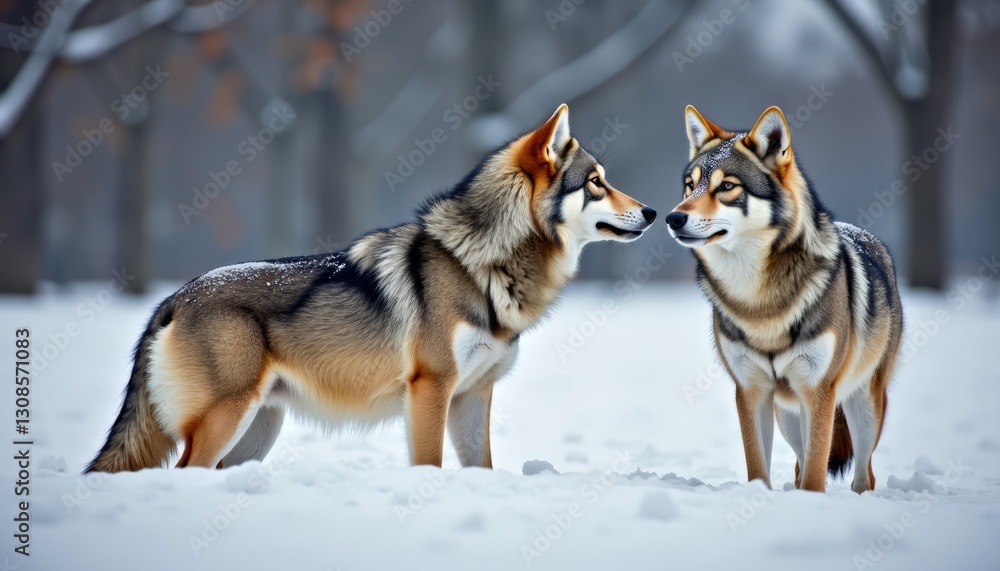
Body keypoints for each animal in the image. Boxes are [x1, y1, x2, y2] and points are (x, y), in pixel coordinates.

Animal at [87, 104, 657, 473]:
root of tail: (172, 299)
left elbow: (482, 468)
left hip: (256, 433)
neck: (479, 264)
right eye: (596, 182)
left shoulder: (473, 395)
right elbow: (429, 464)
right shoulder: (430, 389)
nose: (653, 211)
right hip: (226, 420)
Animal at [665, 105, 903, 493]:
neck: (758, 300)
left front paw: (811, 501)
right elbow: (758, 466)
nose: (673, 217)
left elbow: (816, 475)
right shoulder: (750, 391)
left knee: (863, 474)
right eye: (690, 184)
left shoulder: (819, 391)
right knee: (799, 464)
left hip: (863, 407)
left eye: (727, 187)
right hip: (788, 415)